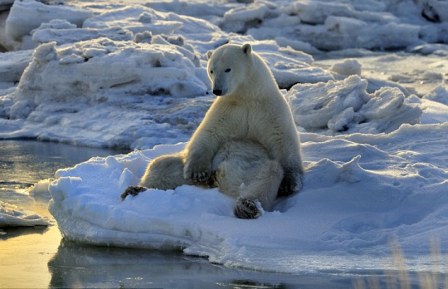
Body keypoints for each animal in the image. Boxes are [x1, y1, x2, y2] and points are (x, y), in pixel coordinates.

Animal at [123, 42, 304, 218]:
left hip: (250, 171)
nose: (217, 90)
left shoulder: (270, 109)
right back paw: (135, 190)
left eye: (228, 69)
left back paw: (248, 206)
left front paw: (289, 184)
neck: (247, 97)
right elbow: (208, 133)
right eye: (211, 70)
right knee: (161, 164)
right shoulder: (226, 108)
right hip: (186, 171)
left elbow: (283, 142)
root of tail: (217, 179)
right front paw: (198, 172)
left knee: (269, 173)